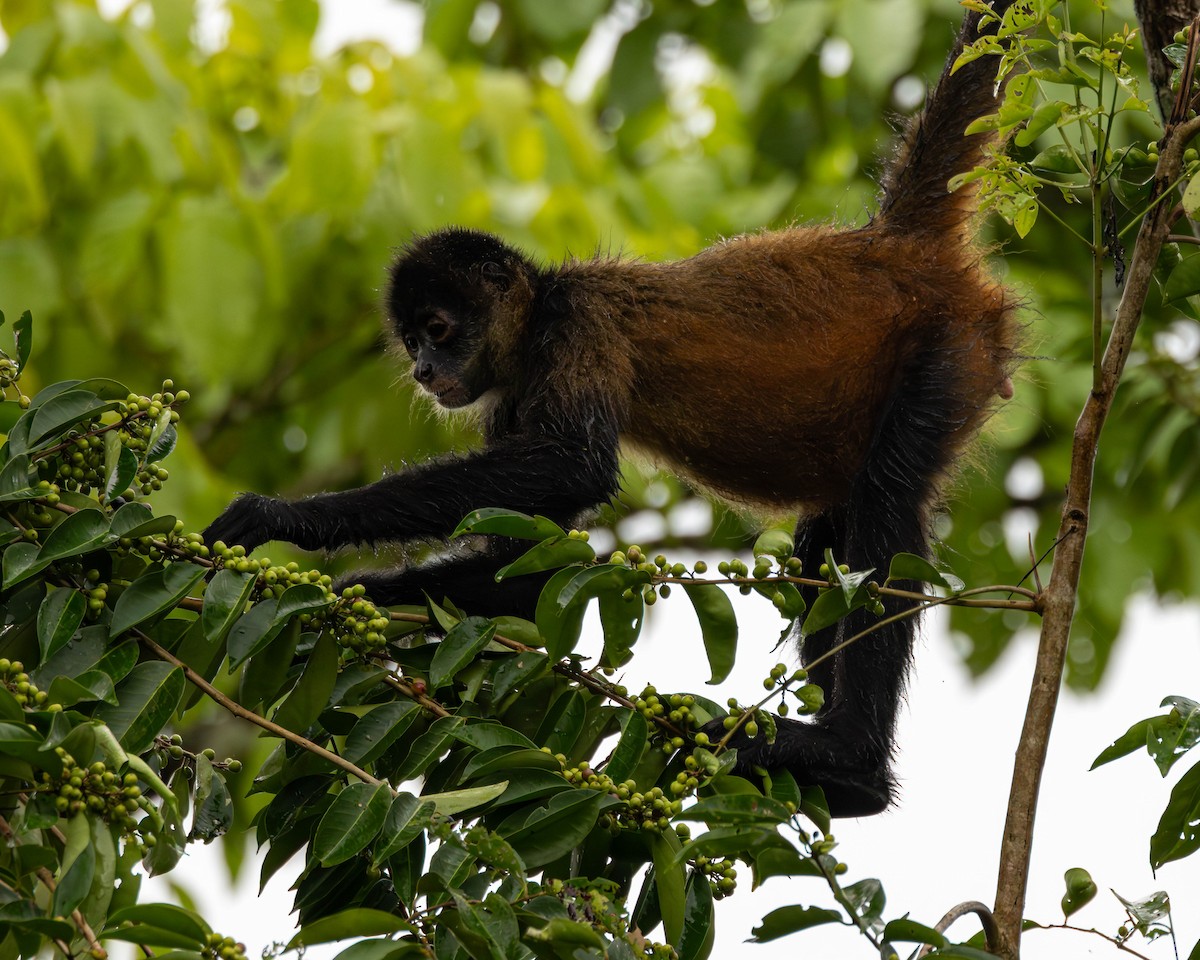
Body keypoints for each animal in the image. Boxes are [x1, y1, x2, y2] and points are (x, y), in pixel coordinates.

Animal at [204, 0, 1021, 818]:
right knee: (825, 546)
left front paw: (288, 520)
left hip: (950, 350)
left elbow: (576, 467)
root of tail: (896, 246)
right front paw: (352, 597)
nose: (425, 371)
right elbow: (529, 569)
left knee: (886, 501)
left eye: (437, 329)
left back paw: (852, 762)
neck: (537, 318)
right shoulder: (510, 398)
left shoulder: (579, 322)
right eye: (409, 340)